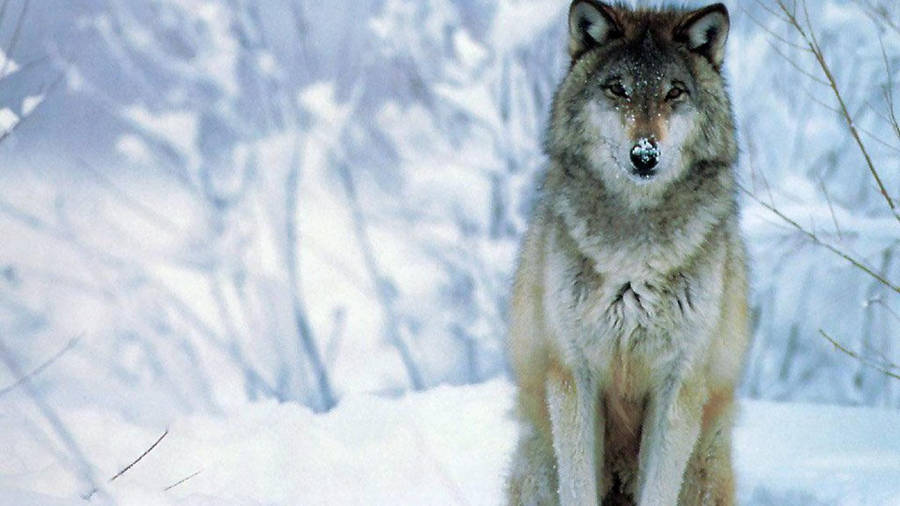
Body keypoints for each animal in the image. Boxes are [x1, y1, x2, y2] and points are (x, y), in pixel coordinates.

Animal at [505, 2, 749, 505]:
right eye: (618, 89)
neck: (634, 258)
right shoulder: (573, 375)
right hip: (537, 460)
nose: (645, 155)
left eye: (674, 92)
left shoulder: (678, 383)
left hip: (705, 467)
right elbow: (578, 486)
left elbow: (659, 487)